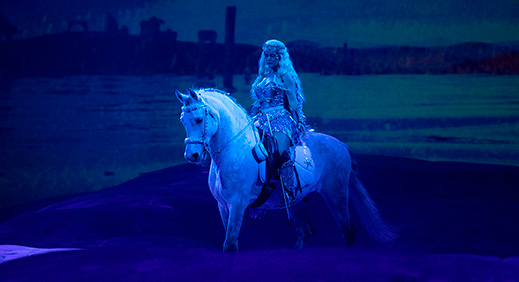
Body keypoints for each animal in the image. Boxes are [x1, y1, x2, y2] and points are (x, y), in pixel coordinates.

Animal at [177, 87, 396, 251]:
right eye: (182, 121)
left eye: (198, 119)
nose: (192, 155)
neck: (235, 149)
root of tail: (341, 144)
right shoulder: (223, 206)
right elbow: (231, 243)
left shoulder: (237, 204)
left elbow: (229, 244)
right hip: (296, 201)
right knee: (306, 232)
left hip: (336, 194)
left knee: (347, 230)